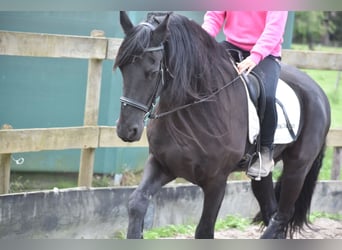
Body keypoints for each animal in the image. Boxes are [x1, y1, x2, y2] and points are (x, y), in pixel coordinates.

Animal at [114, 11, 332, 238]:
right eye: (122, 67)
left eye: (153, 70)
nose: (127, 130)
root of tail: (318, 91)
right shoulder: (162, 164)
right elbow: (137, 203)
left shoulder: (216, 181)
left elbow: (204, 230)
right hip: (261, 175)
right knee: (271, 211)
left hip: (297, 168)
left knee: (283, 214)